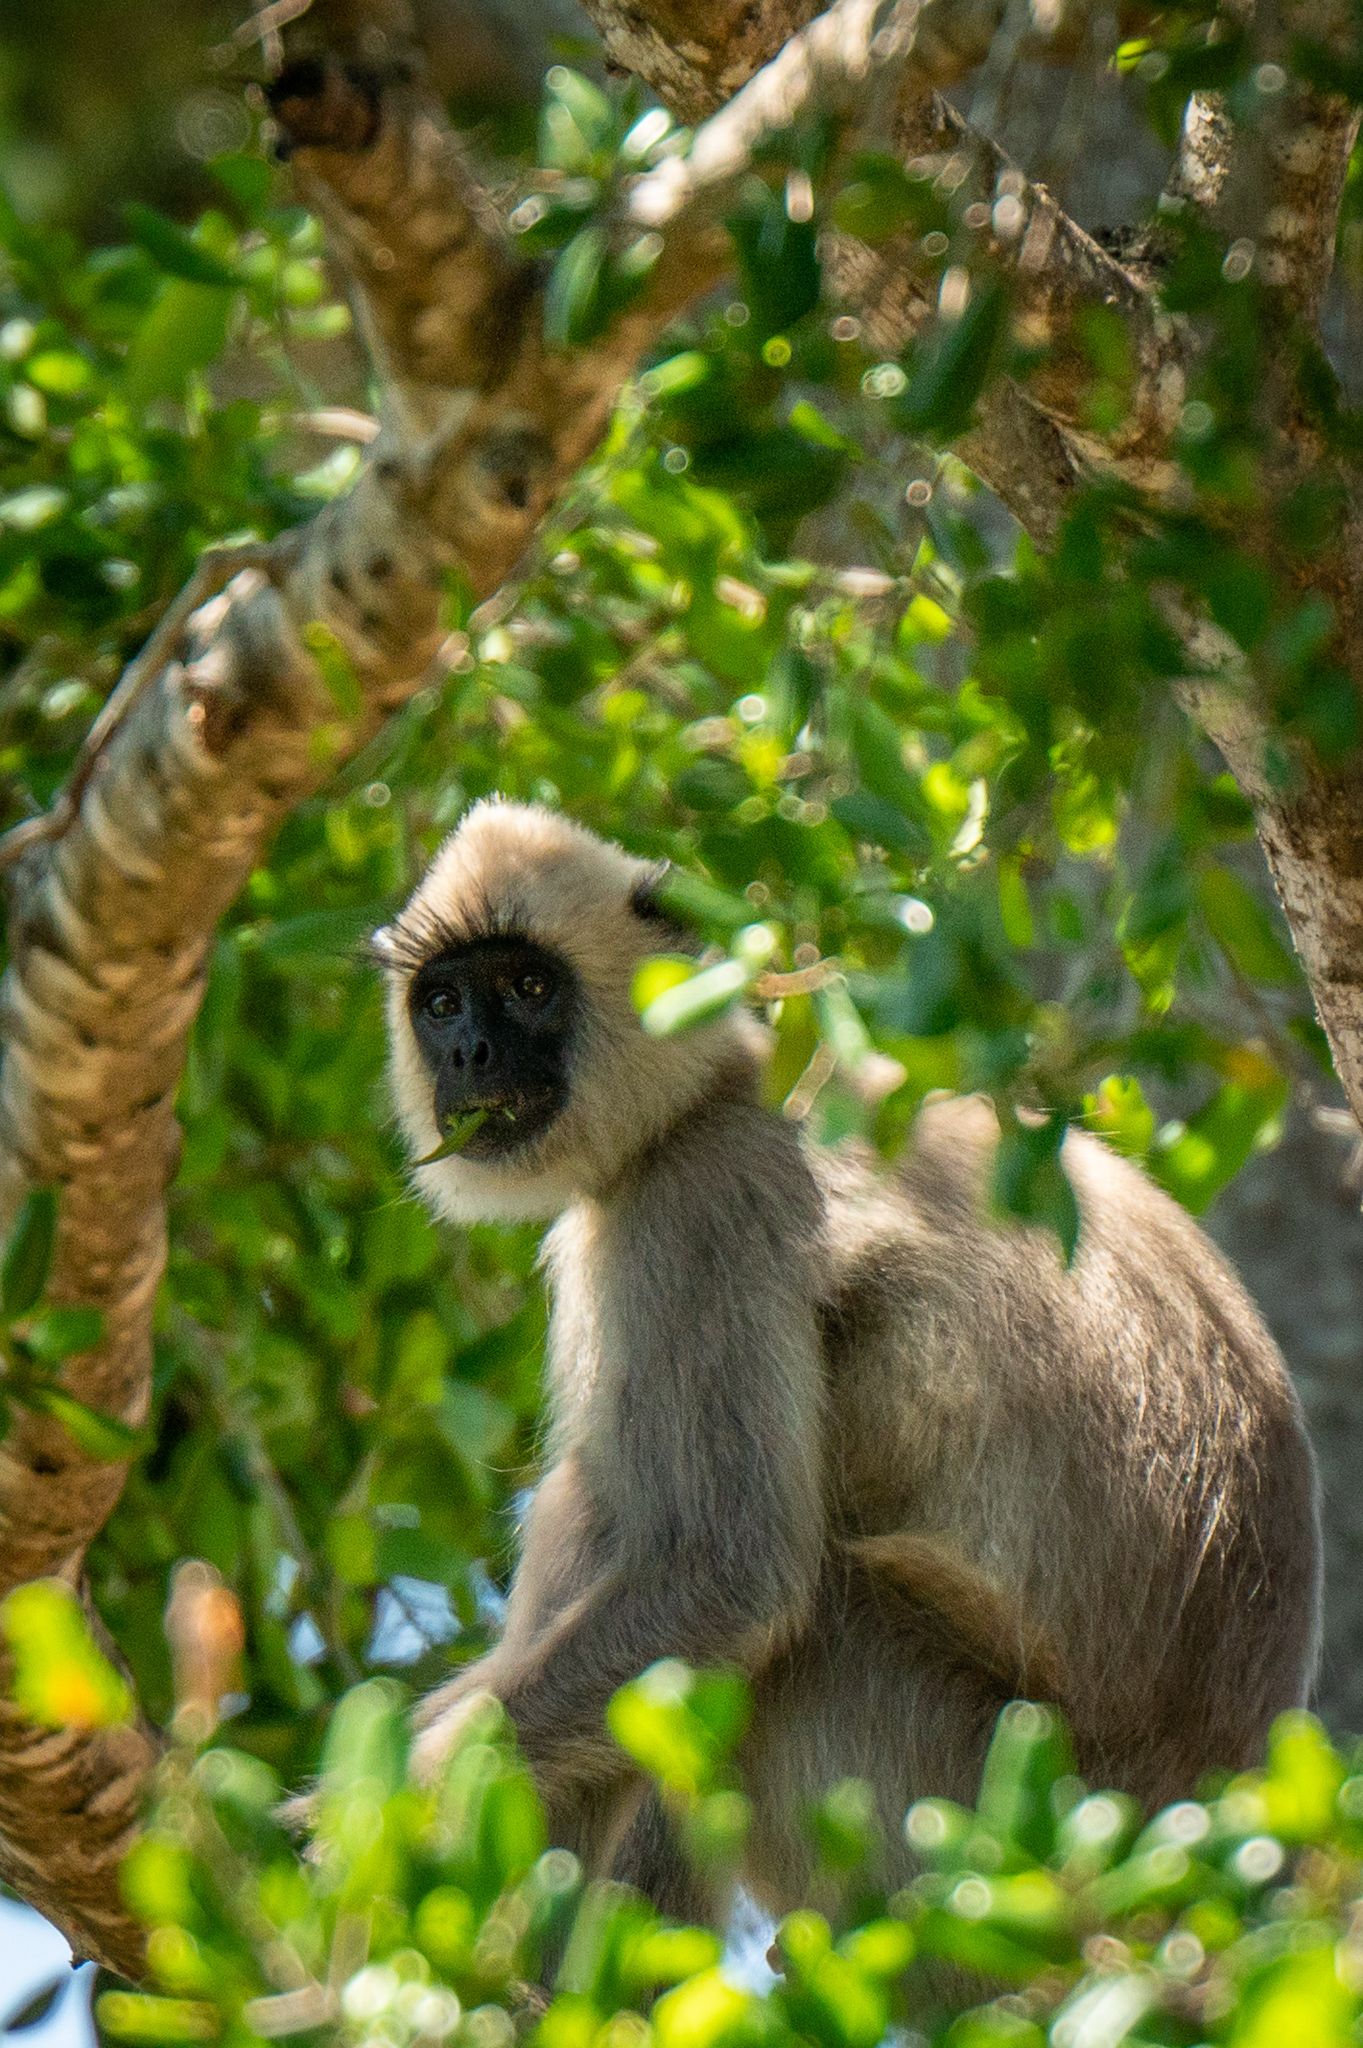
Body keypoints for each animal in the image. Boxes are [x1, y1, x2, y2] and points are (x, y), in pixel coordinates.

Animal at [374, 797, 1321, 1922]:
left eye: (526, 986)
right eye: (441, 1003)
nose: (471, 1051)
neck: (722, 1088)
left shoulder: (696, 1201)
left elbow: (726, 1576)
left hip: (942, 1810)